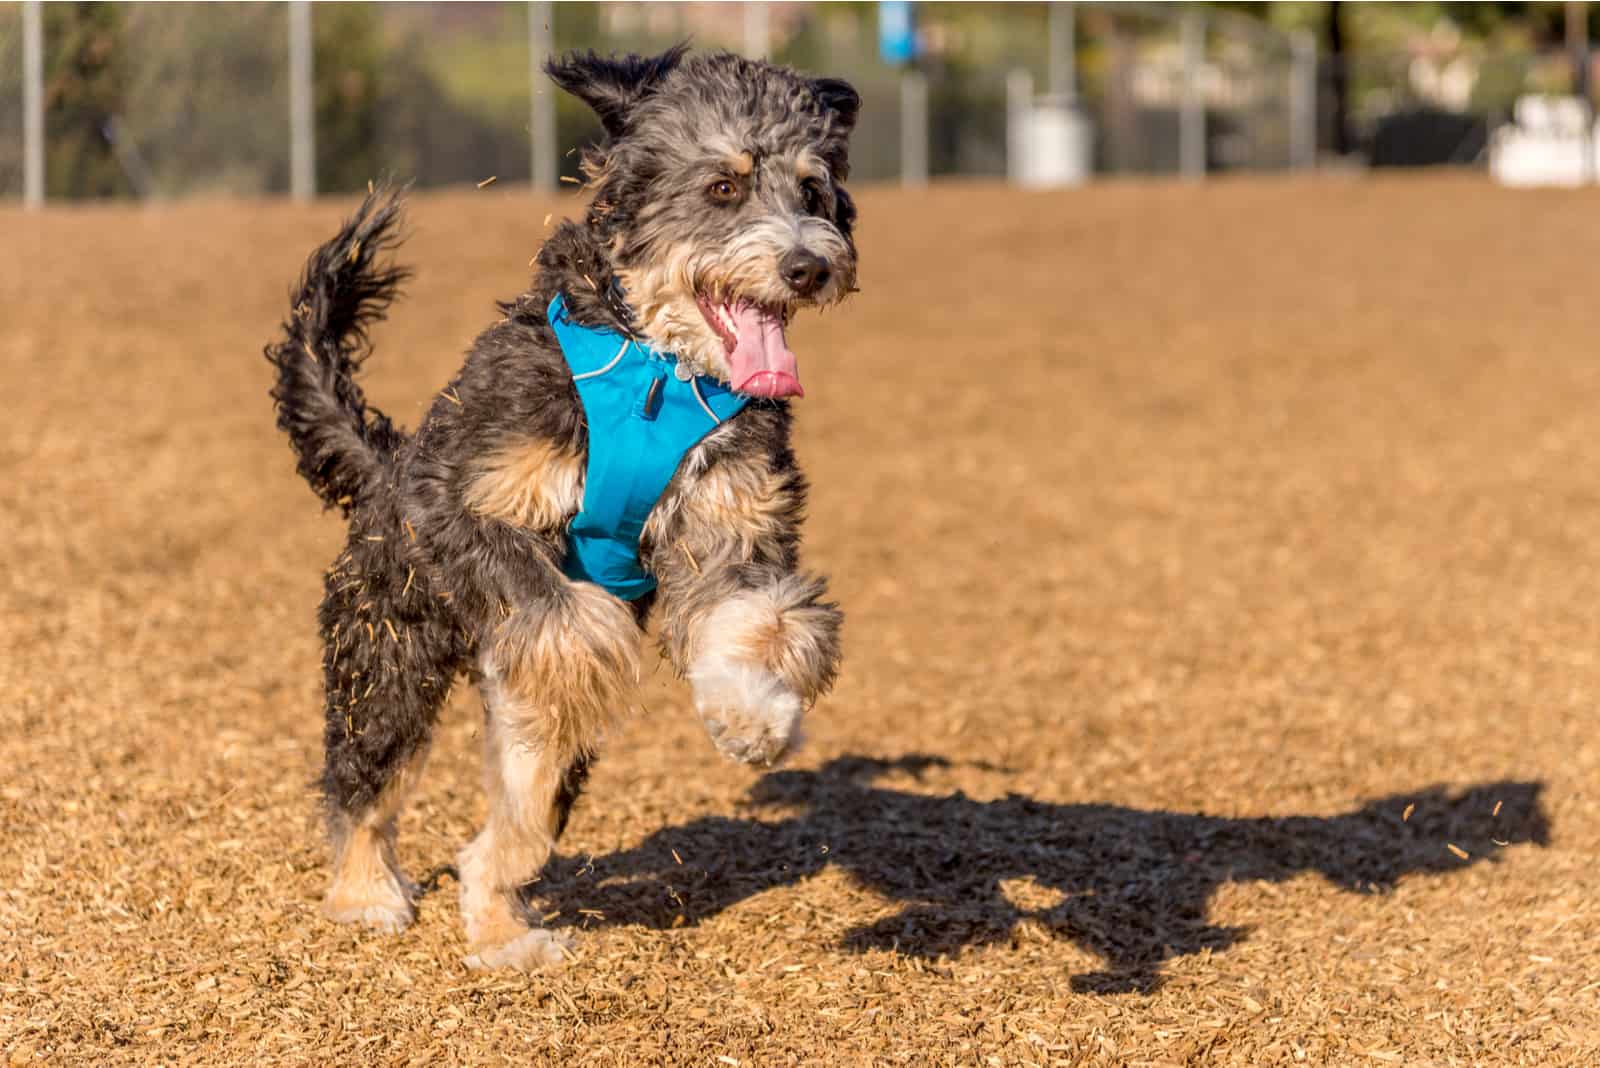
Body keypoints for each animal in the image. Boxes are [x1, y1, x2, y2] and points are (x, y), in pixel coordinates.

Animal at [265, 47, 864, 965]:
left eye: (810, 188)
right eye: (723, 187)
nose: (809, 266)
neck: (654, 368)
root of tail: (380, 465)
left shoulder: (733, 525)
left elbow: (754, 617)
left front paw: (752, 716)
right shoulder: (457, 504)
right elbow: (559, 607)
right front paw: (593, 644)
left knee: (509, 831)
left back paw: (504, 936)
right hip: (389, 649)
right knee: (363, 784)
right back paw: (366, 895)